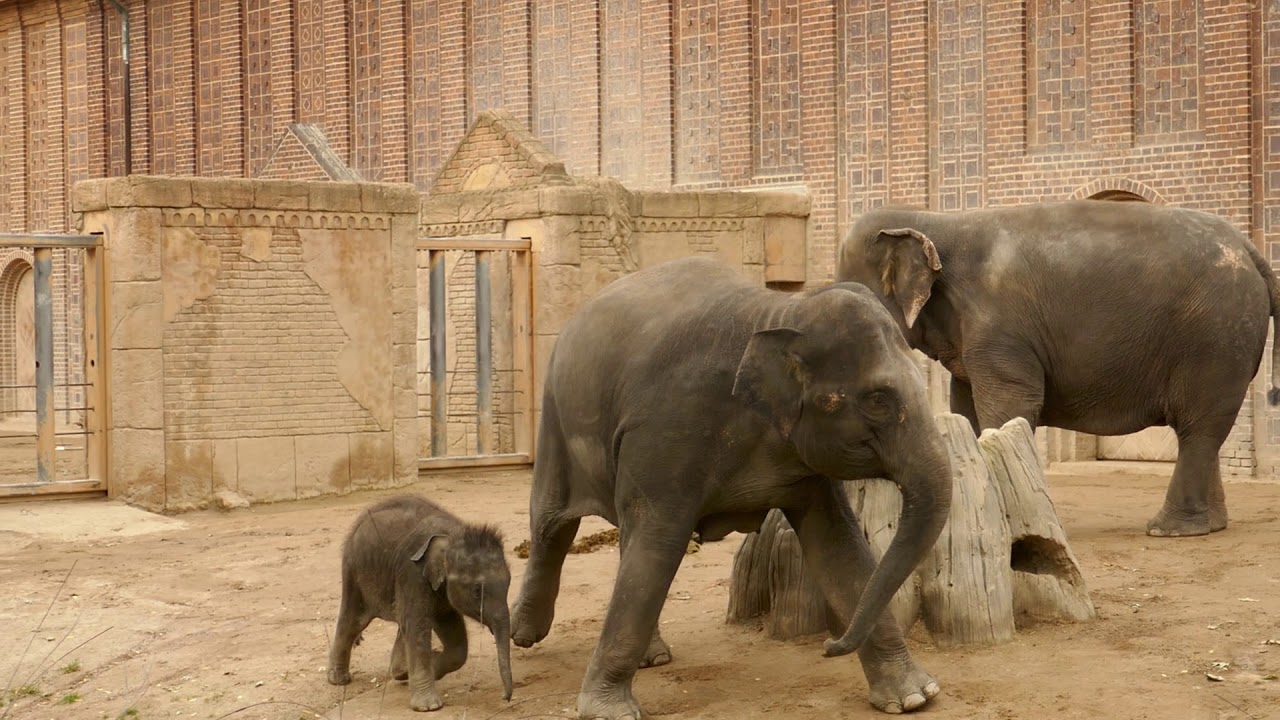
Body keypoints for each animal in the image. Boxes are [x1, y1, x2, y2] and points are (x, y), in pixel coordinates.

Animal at [327, 494, 514, 711]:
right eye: (477, 591)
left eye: (509, 583)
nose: (505, 697)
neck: (454, 534)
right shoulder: (412, 573)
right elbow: (419, 625)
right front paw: (428, 707)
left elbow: (450, 628)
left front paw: (430, 669)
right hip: (354, 571)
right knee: (353, 621)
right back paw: (339, 679)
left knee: (400, 623)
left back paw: (400, 671)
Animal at [509, 256, 954, 719]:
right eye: (878, 400)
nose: (830, 646)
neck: (780, 311)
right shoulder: (667, 428)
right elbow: (658, 543)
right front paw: (608, 712)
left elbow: (838, 545)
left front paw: (915, 697)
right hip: (556, 419)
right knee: (552, 525)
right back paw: (523, 633)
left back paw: (653, 657)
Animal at [836, 199, 1280, 538]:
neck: (934, 219)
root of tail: (1249, 248)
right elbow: (966, 409)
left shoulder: (1001, 328)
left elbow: (1010, 406)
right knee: (1208, 430)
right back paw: (1211, 526)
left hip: (1215, 339)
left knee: (1197, 428)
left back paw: (1168, 530)